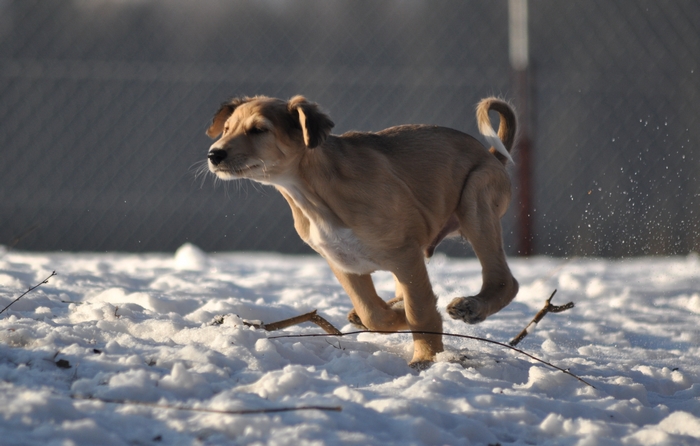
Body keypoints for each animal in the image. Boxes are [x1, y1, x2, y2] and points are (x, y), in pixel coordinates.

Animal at [205, 96, 516, 368]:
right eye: (227, 129)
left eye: (259, 130)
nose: (213, 154)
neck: (313, 195)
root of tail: (492, 154)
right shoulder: (344, 261)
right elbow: (374, 315)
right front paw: (396, 315)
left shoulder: (404, 256)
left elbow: (421, 313)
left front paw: (426, 359)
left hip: (476, 201)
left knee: (505, 281)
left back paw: (471, 307)